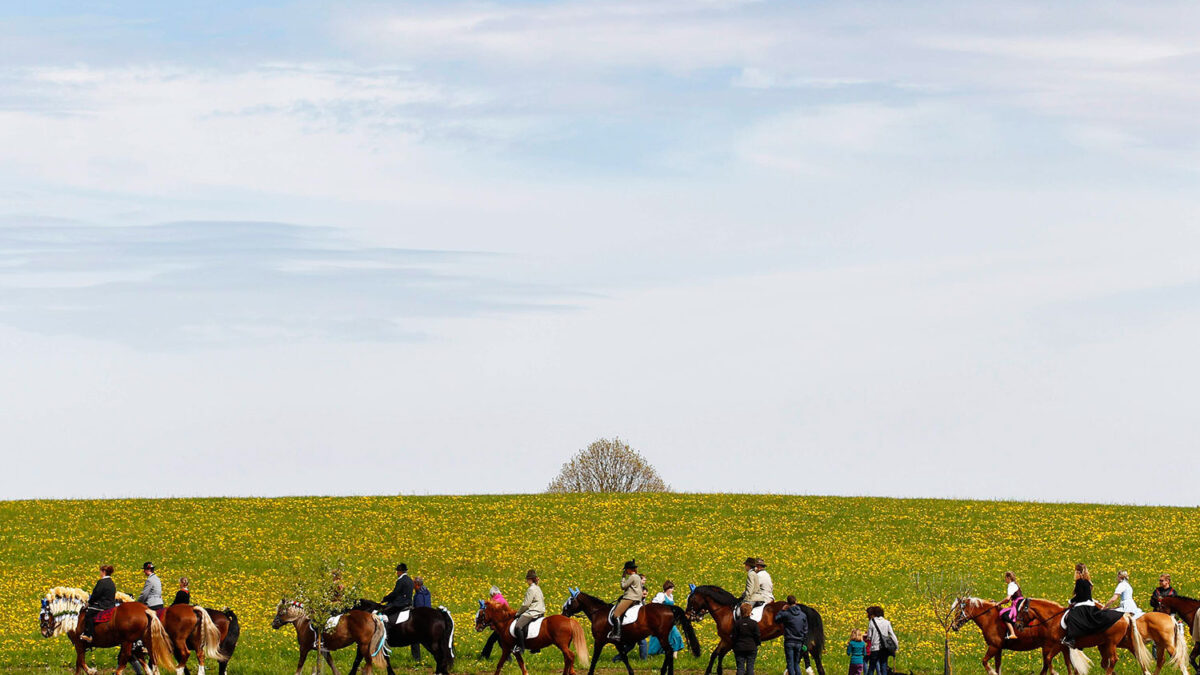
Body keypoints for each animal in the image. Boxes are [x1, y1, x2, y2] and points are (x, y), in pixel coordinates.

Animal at [39, 583, 177, 672]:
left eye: (43, 614)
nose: (44, 632)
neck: (77, 614)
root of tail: (145, 610)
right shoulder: (81, 646)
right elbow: (79, 665)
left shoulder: (79, 644)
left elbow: (81, 663)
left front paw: (92, 671)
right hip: (143, 640)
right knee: (149, 662)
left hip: (127, 642)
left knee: (124, 661)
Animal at [561, 583, 700, 672]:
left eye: (570, 601)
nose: (563, 613)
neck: (598, 613)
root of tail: (669, 607)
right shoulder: (617, 642)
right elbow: (624, 658)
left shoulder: (599, 641)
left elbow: (594, 659)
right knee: (668, 652)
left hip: (662, 635)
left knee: (669, 651)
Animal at [686, 581, 825, 672]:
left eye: (691, 599)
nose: (688, 615)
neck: (725, 611)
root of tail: (800, 607)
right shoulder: (725, 640)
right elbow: (715, 654)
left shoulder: (730, 640)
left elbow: (720, 655)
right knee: (811, 651)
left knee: (805, 651)